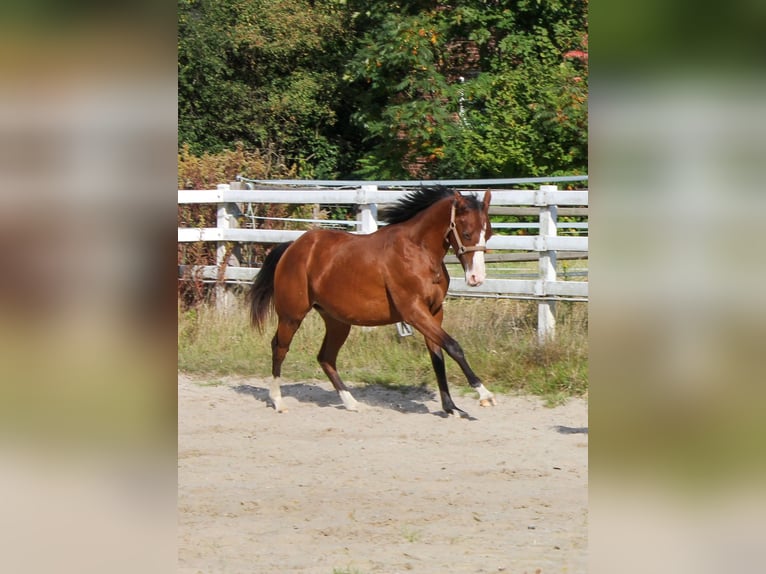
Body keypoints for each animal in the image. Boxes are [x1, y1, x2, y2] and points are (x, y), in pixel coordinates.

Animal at [247, 185, 496, 417]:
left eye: (489, 234)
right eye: (467, 233)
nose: (476, 278)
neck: (418, 252)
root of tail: (292, 246)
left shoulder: (434, 312)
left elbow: (438, 356)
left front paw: (451, 407)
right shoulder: (414, 312)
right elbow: (453, 347)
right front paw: (484, 394)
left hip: (338, 322)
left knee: (325, 357)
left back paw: (351, 403)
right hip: (292, 315)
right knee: (279, 347)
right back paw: (278, 401)